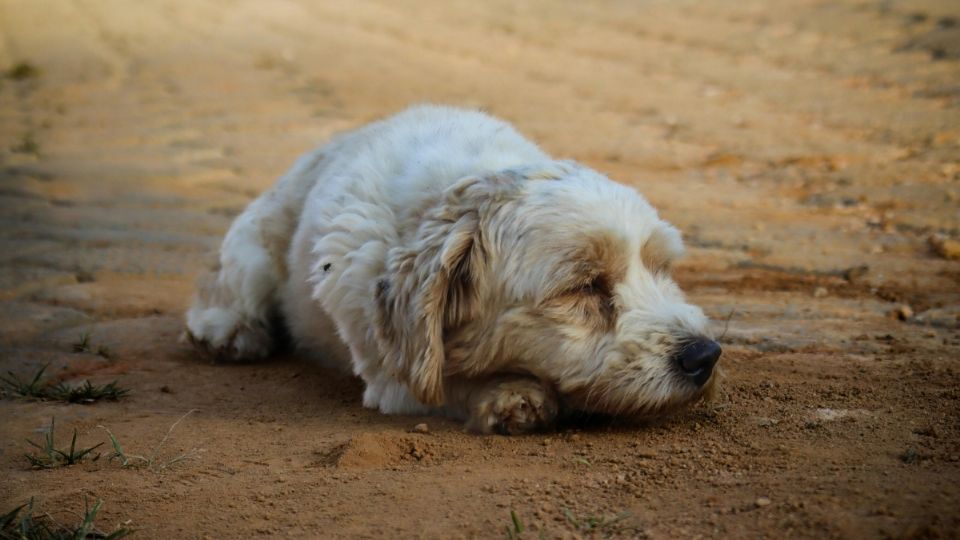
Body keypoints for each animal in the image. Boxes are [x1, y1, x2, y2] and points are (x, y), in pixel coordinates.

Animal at [186, 105, 720, 434]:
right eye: (582, 286)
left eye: (661, 267)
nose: (705, 355)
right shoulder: (394, 376)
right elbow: (450, 379)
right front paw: (509, 393)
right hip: (256, 247)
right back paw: (227, 331)